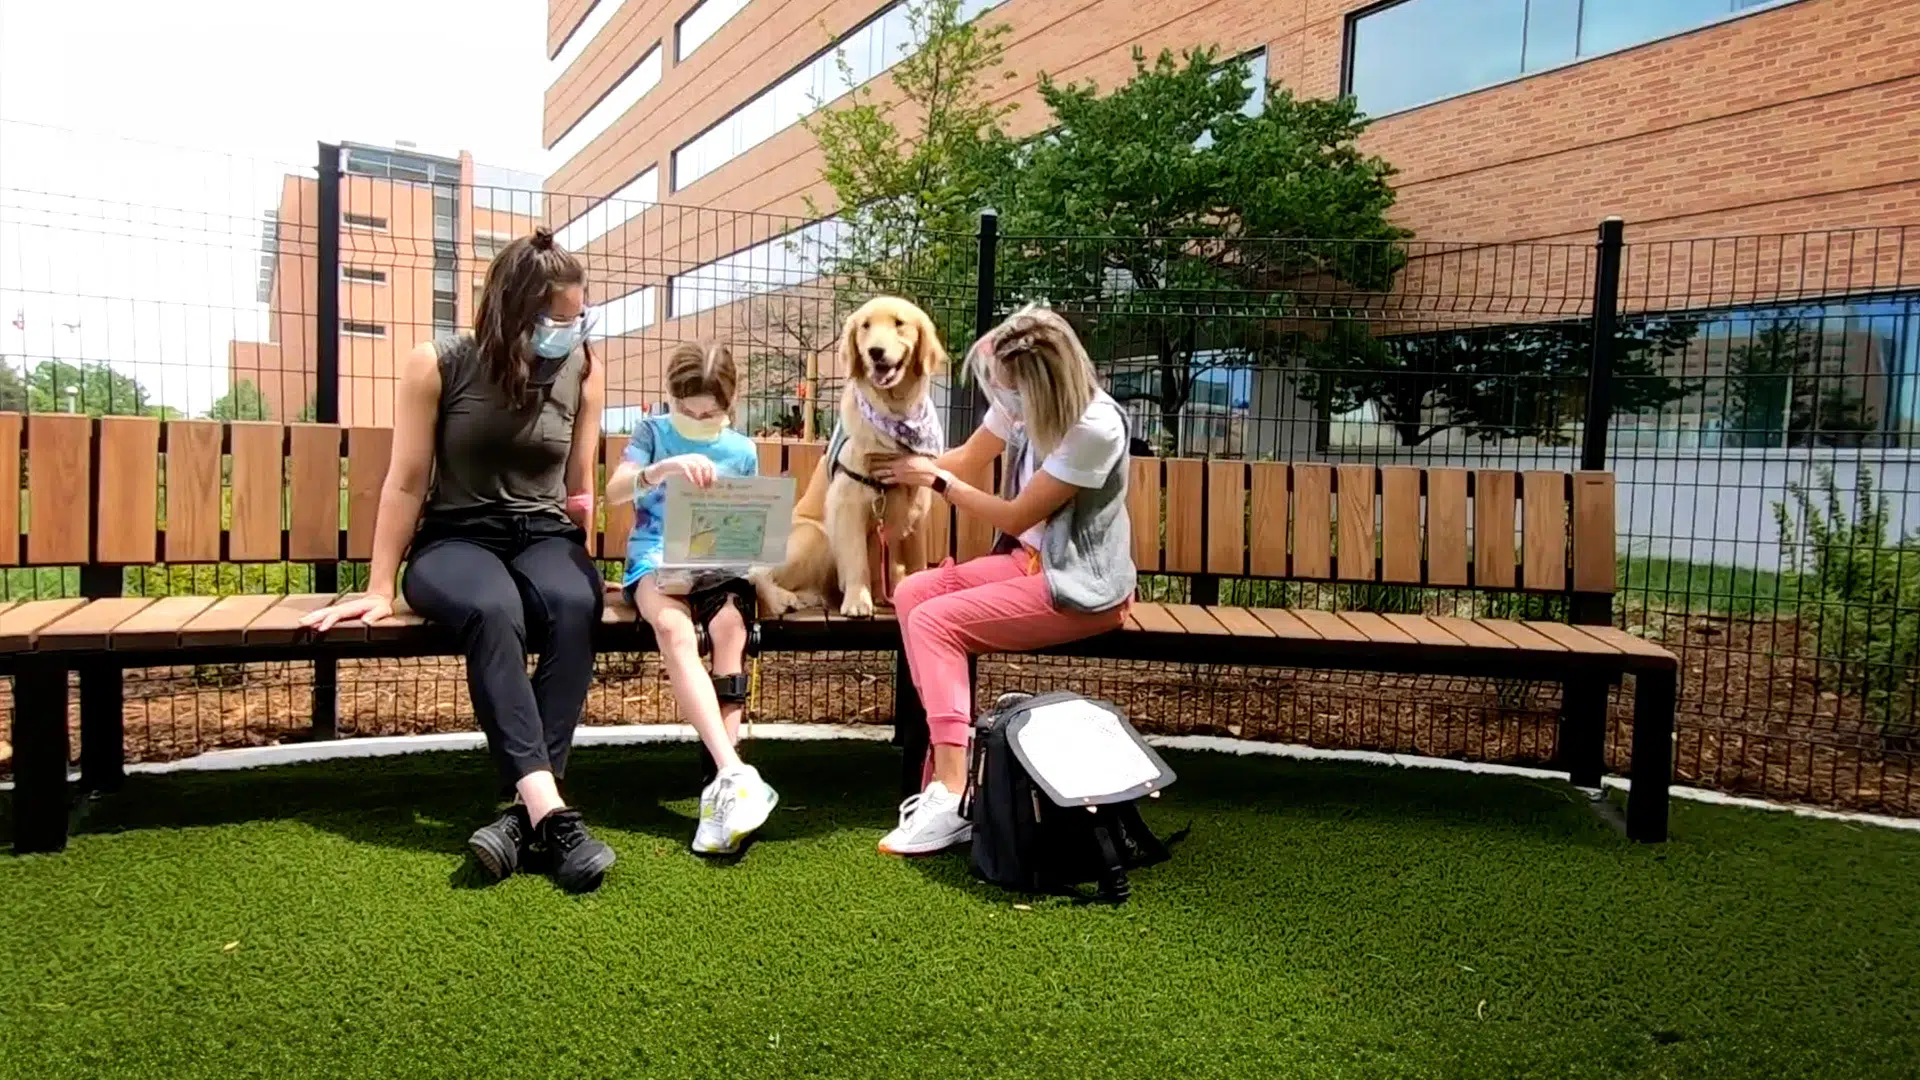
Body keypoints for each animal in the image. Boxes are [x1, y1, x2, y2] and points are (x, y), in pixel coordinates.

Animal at [756, 294, 952, 614]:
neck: (894, 412)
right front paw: (858, 601)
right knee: (755, 573)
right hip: (816, 536)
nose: (875, 352)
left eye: (899, 323)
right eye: (865, 326)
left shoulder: (917, 510)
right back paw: (783, 598)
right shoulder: (847, 502)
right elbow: (857, 558)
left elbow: (917, 563)